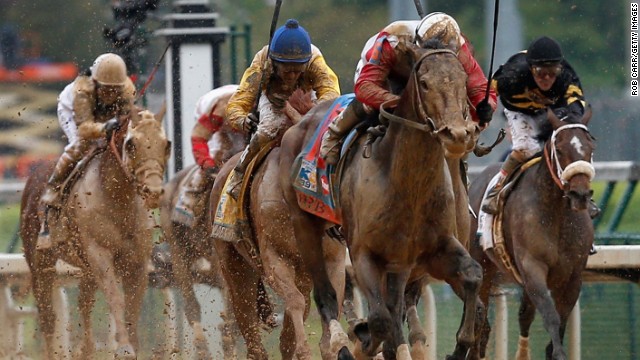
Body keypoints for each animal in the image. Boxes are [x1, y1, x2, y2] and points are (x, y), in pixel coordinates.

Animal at [21, 110, 170, 360]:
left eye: (167, 144)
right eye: (131, 144)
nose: (153, 191)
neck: (117, 200)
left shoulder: (138, 261)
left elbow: (133, 305)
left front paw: (132, 345)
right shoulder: (99, 254)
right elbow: (116, 298)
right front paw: (124, 347)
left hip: (86, 269)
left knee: (84, 303)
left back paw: (86, 350)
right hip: (41, 263)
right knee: (47, 315)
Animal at [278, 40, 482, 360]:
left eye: (463, 82)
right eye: (425, 83)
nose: (458, 135)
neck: (408, 185)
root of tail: (300, 123)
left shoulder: (432, 249)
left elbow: (473, 275)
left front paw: (459, 346)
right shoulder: (363, 253)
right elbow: (379, 319)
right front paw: (361, 340)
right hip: (304, 224)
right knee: (326, 294)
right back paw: (340, 342)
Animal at [464, 109, 596, 360]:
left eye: (590, 148)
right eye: (560, 149)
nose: (580, 194)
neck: (556, 214)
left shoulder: (573, 276)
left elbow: (559, 321)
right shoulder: (532, 267)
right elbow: (551, 316)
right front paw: (559, 353)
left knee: (522, 315)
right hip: (483, 266)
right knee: (480, 318)